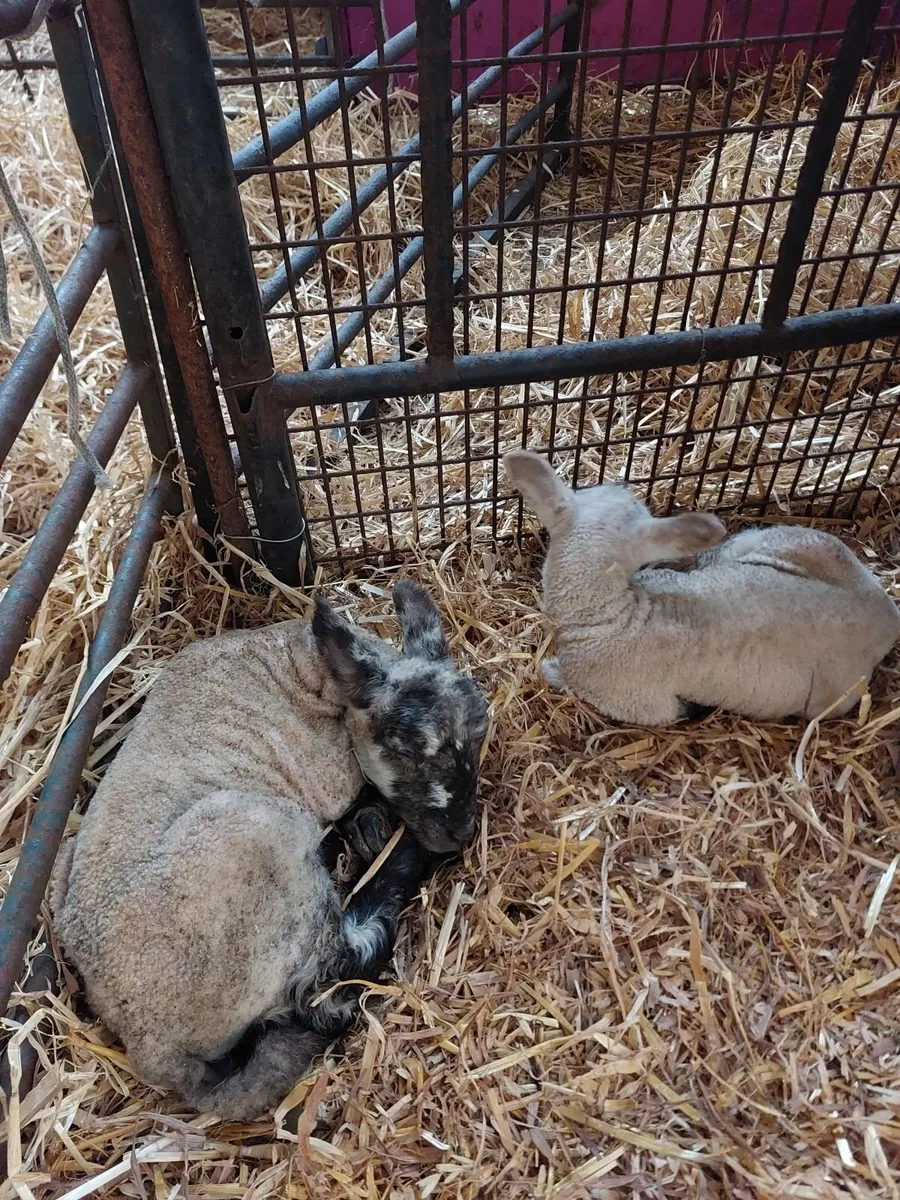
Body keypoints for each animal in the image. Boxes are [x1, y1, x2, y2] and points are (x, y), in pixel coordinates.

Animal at [51, 581, 488, 1121]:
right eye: (406, 749)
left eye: (480, 737)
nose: (459, 834)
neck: (310, 668)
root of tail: (151, 1045)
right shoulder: (329, 777)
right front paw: (378, 831)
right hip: (264, 845)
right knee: (333, 986)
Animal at [503, 450, 900, 725]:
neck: (609, 614)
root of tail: (888, 616)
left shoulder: (637, 702)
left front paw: (551, 670)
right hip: (800, 542)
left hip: (831, 701)